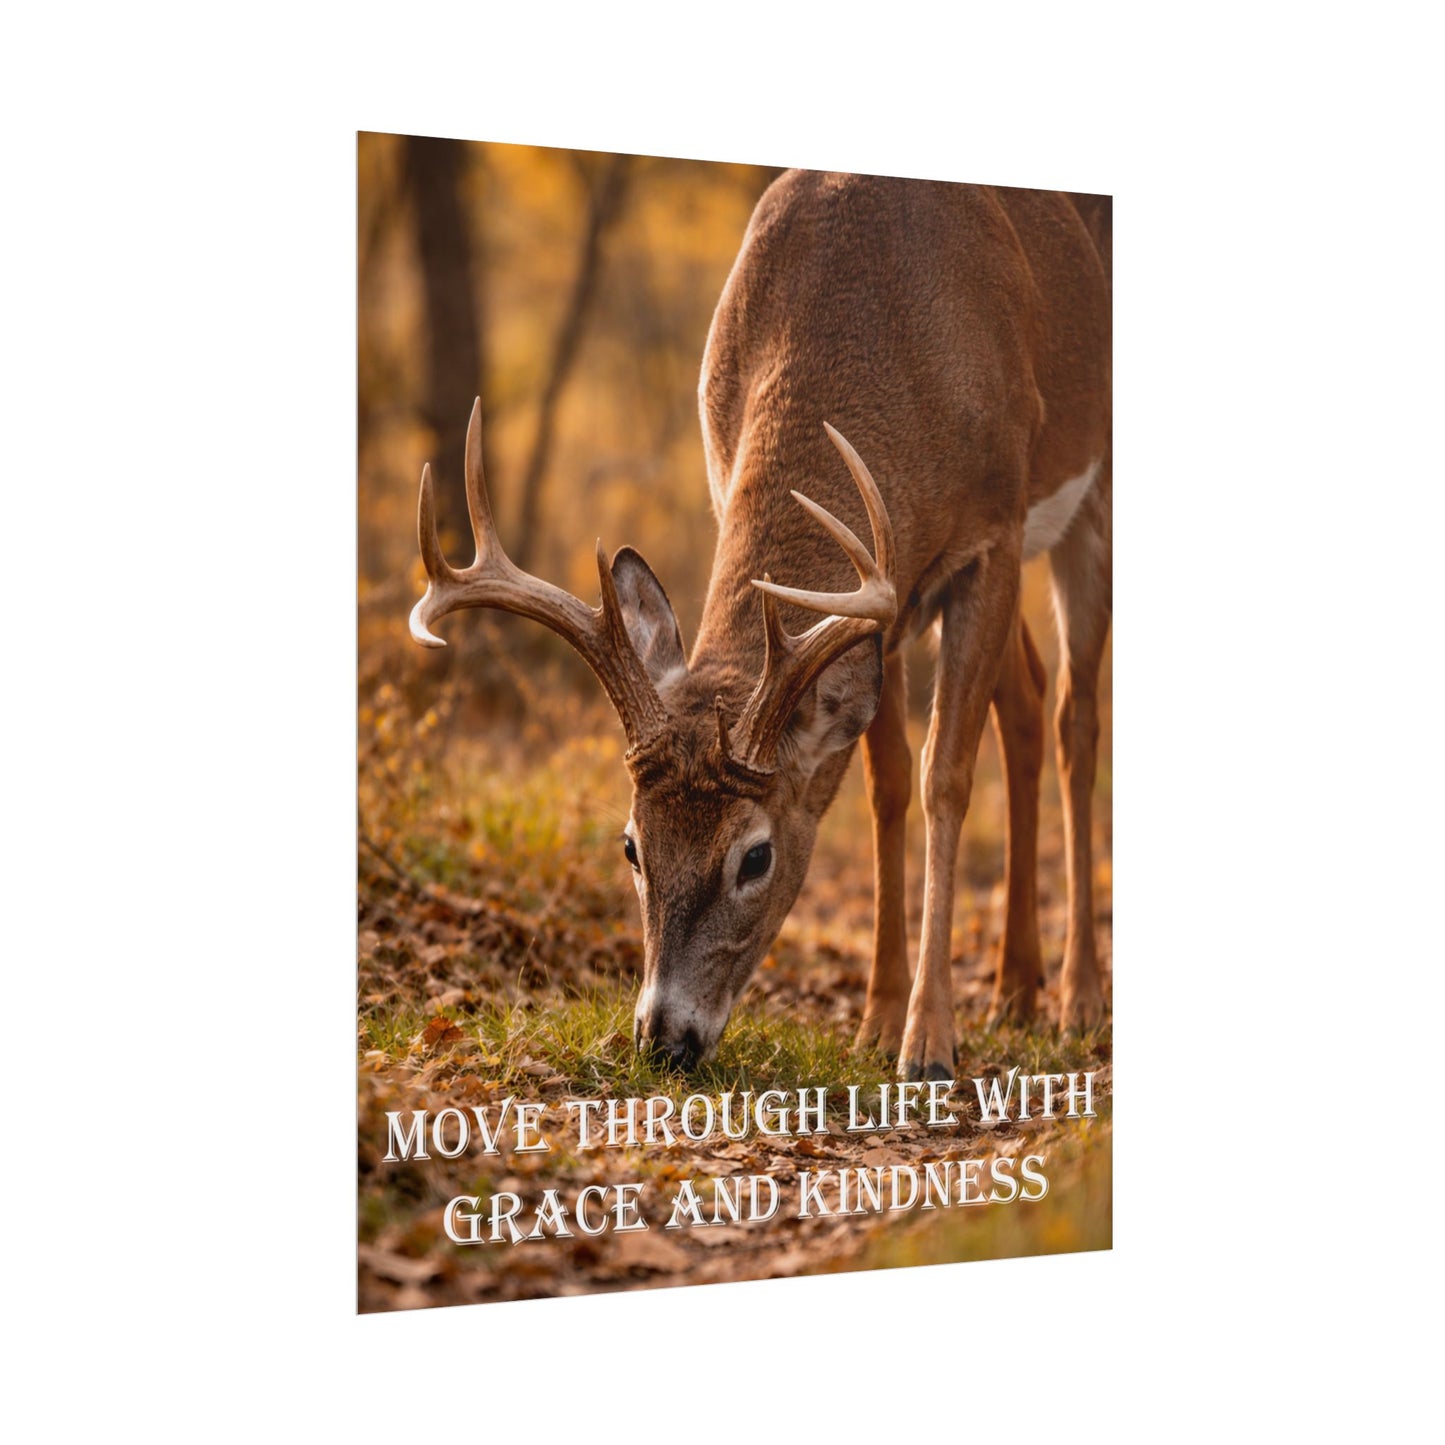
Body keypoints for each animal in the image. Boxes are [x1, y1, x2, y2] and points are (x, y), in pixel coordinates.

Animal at [410, 171, 1111, 1082]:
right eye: (631, 844)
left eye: (755, 856)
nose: (664, 1039)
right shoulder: (879, 592)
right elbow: (885, 784)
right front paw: (878, 1019)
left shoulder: (989, 533)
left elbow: (944, 778)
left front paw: (926, 1041)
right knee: (1025, 698)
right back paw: (1015, 990)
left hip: (1086, 498)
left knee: (1073, 717)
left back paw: (1078, 998)